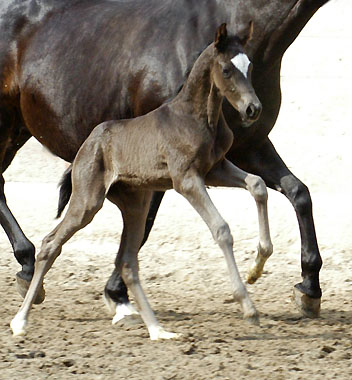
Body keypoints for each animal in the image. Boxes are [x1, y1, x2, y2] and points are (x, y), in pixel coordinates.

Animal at [11, 23, 272, 338]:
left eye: (250, 66)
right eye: (226, 69)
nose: (253, 109)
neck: (198, 117)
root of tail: (86, 147)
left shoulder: (215, 169)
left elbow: (257, 184)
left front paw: (257, 267)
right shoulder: (187, 179)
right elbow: (221, 228)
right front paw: (248, 306)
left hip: (136, 203)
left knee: (128, 262)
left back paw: (158, 330)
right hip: (88, 201)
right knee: (51, 244)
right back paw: (20, 321)